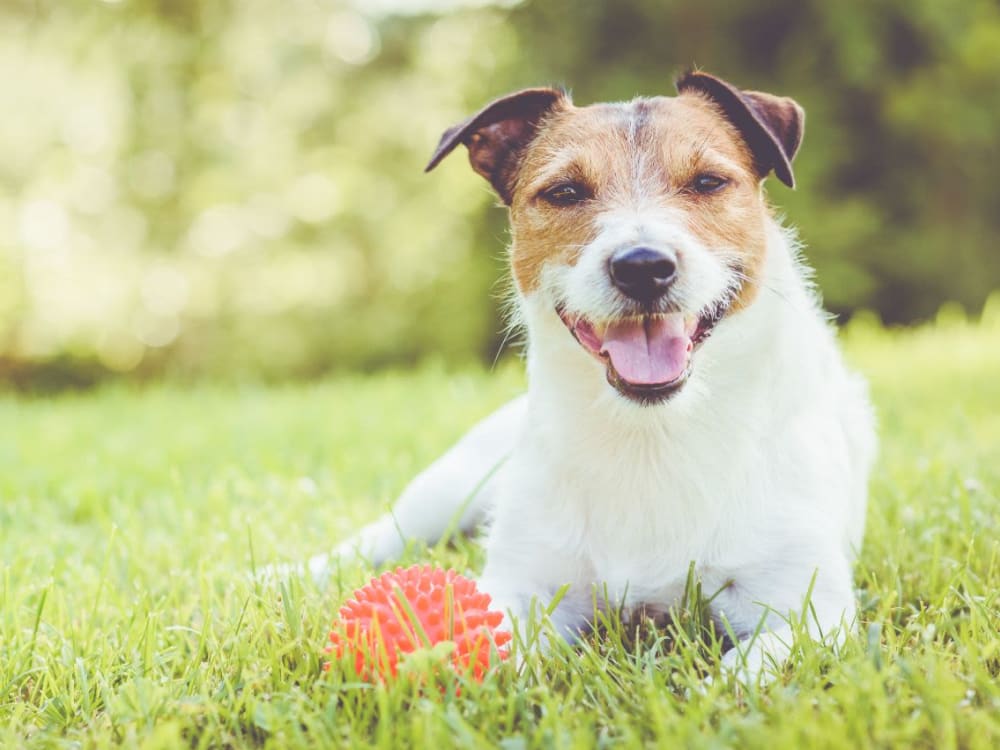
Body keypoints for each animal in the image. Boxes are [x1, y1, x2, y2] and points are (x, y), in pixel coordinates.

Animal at [304, 73, 876, 684]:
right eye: (565, 192)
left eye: (707, 182)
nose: (643, 266)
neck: (652, 434)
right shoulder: (520, 584)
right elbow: (503, 642)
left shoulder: (809, 609)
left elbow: (748, 668)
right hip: (448, 488)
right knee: (374, 540)